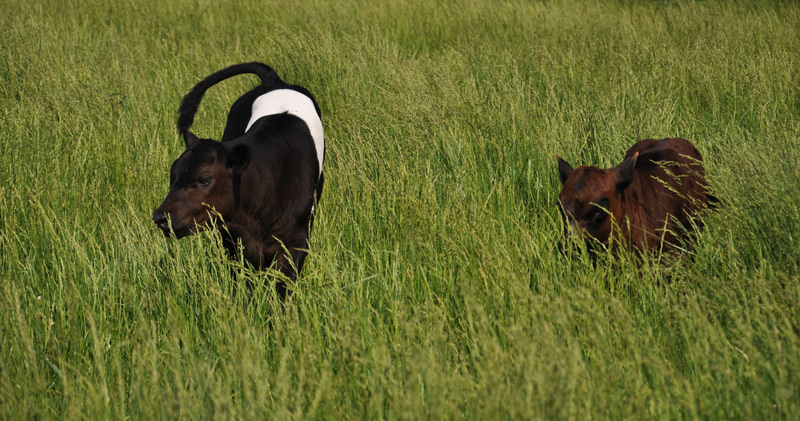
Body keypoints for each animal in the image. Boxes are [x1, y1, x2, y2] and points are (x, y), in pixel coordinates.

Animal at [152, 62, 325, 298]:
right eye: (172, 176)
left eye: (203, 179)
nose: (160, 217)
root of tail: (274, 80)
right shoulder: (232, 237)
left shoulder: (296, 241)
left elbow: (282, 289)